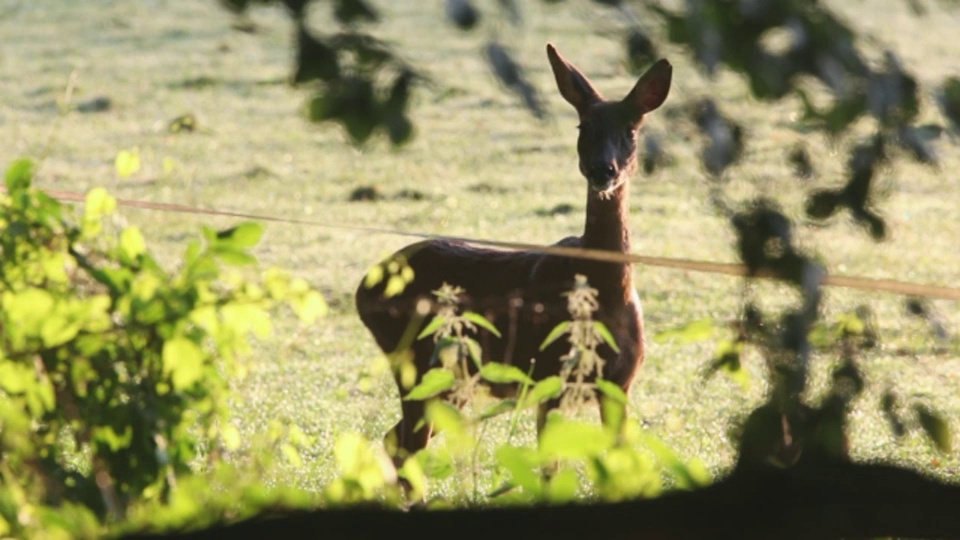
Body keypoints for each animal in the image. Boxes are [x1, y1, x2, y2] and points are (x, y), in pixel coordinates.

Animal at [356, 42, 672, 466]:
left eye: (631, 130)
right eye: (583, 127)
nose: (602, 170)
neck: (605, 293)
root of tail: (364, 288)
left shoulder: (620, 384)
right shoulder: (549, 375)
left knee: (396, 439)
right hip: (420, 362)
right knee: (406, 443)